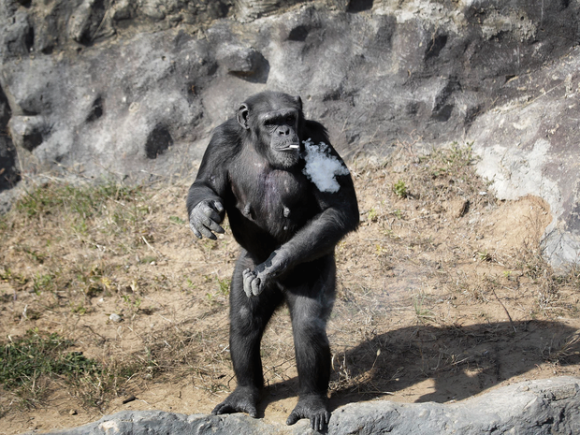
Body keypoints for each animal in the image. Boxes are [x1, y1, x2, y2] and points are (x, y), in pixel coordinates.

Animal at [187, 90, 358, 430]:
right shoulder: (220, 140)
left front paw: (276, 263)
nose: (284, 131)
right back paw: (244, 395)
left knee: (308, 329)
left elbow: (340, 209)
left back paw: (310, 402)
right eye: (270, 122)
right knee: (243, 324)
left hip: (316, 269)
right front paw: (202, 213)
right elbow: (205, 184)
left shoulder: (318, 139)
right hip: (246, 266)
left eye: (289, 118)